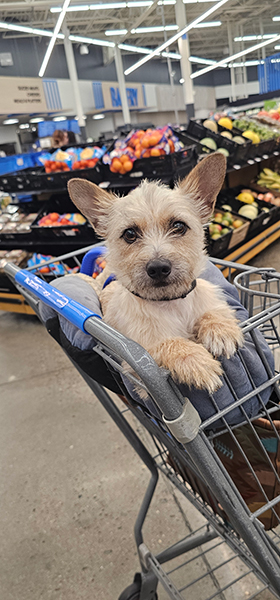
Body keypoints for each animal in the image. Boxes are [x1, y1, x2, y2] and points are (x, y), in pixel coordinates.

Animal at [68, 152, 243, 394]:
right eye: (129, 234)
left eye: (178, 226)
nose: (158, 267)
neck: (171, 302)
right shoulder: (136, 362)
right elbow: (165, 344)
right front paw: (195, 360)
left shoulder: (210, 301)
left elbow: (213, 312)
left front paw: (220, 330)